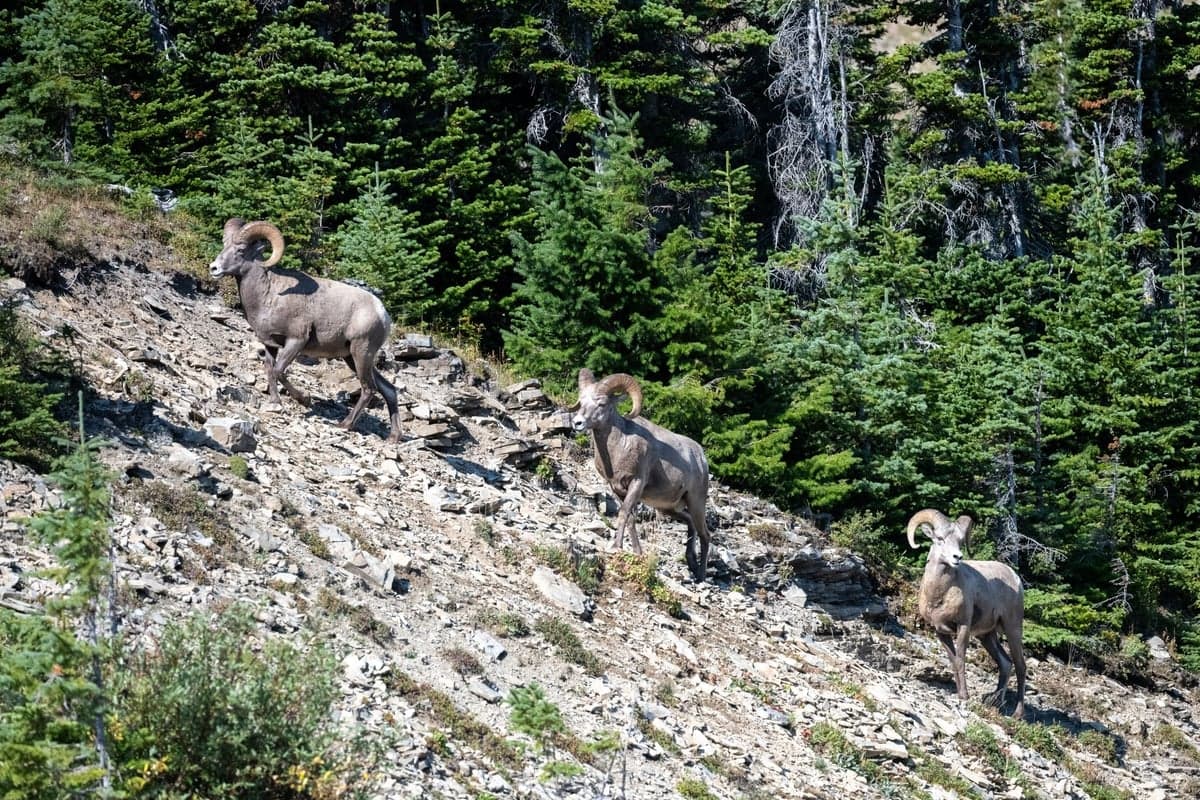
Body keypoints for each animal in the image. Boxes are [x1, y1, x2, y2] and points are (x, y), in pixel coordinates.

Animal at [208, 218, 402, 442]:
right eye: (224, 245)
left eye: (240, 250)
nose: (213, 268)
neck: (269, 296)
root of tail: (382, 313)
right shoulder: (270, 345)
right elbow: (270, 371)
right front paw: (275, 403)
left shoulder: (296, 341)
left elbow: (279, 371)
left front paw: (305, 399)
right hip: (352, 358)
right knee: (389, 390)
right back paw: (394, 437)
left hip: (361, 353)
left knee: (369, 389)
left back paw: (344, 425)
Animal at [570, 369, 711, 582]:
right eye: (581, 400)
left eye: (602, 403)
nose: (577, 423)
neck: (619, 447)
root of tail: (701, 458)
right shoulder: (617, 489)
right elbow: (630, 519)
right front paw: (637, 552)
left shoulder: (636, 484)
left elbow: (623, 514)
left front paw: (616, 547)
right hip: (668, 508)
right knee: (690, 524)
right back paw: (691, 564)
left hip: (696, 503)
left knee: (705, 535)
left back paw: (701, 575)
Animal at [907, 508, 1027, 718]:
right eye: (940, 538)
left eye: (961, 541)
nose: (957, 557)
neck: (939, 594)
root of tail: (1015, 578)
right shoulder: (941, 632)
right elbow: (953, 660)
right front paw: (960, 693)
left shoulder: (963, 626)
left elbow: (961, 658)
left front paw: (964, 696)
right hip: (987, 636)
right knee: (1005, 663)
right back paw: (994, 702)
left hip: (1012, 629)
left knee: (1020, 666)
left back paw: (1017, 714)